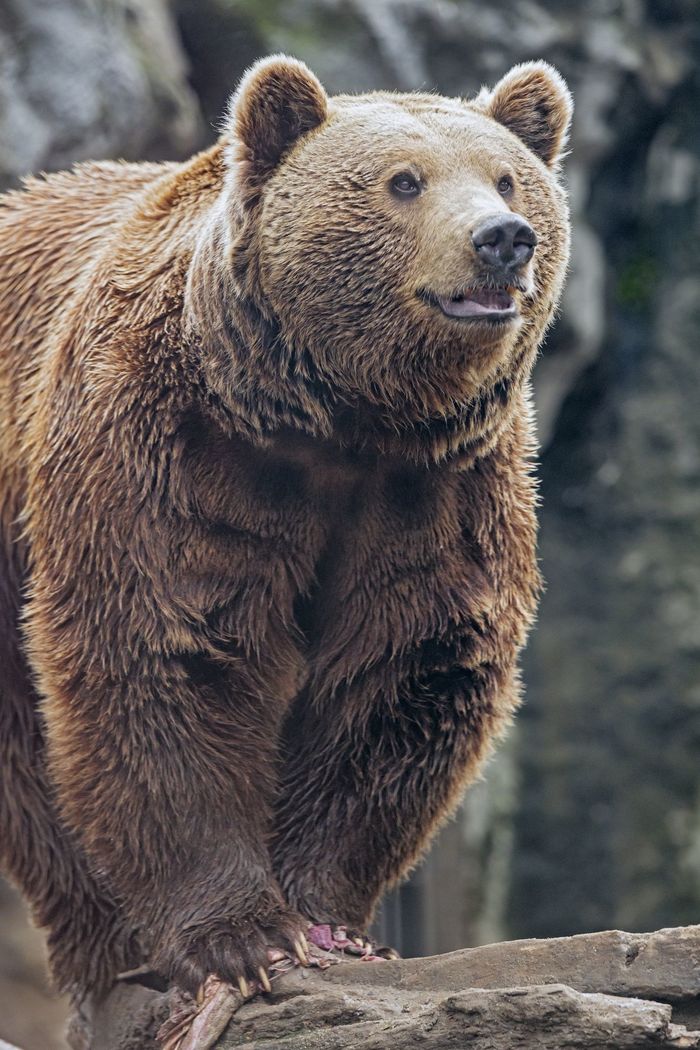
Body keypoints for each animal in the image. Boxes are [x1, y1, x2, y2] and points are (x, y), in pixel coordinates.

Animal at [0, 55, 570, 1007]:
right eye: (403, 181)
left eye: (507, 177)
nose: (504, 238)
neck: (340, 421)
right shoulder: (173, 450)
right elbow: (166, 650)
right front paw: (240, 937)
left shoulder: (437, 487)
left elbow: (405, 668)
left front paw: (327, 922)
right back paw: (105, 950)